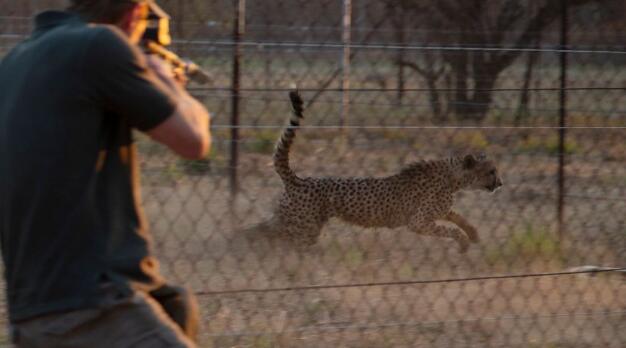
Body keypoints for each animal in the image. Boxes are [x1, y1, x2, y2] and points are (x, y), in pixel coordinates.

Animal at [246, 89, 500, 253]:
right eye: (491, 171)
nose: (500, 184)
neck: (453, 176)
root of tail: (298, 179)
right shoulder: (418, 222)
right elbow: (450, 229)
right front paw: (464, 243)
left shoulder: (437, 211)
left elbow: (457, 216)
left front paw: (473, 234)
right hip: (303, 227)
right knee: (270, 235)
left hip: (294, 220)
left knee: (261, 228)